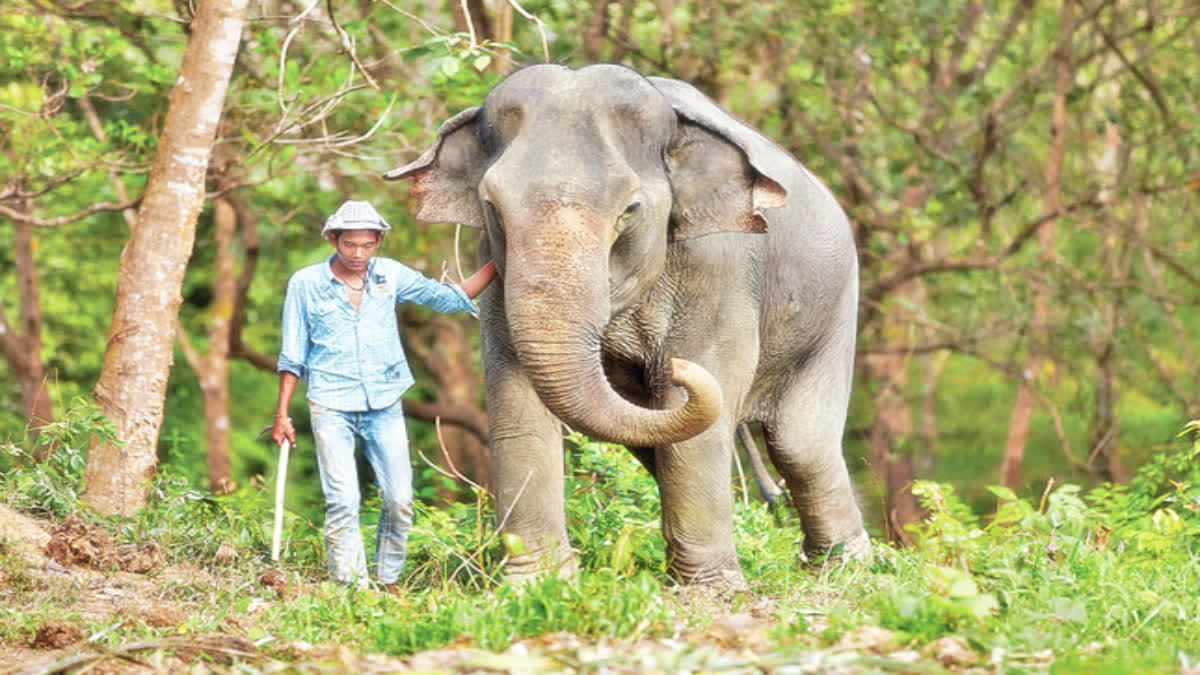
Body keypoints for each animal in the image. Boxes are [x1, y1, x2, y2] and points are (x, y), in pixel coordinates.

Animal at [388, 61, 868, 583]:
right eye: (492, 207)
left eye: (629, 211)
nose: (671, 367)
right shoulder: (496, 267)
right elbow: (518, 405)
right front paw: (536, 583)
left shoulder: (720, 267)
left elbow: (697, 416)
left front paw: (712, 591)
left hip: (836, 309)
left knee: (800, 445)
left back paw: (846, 569)